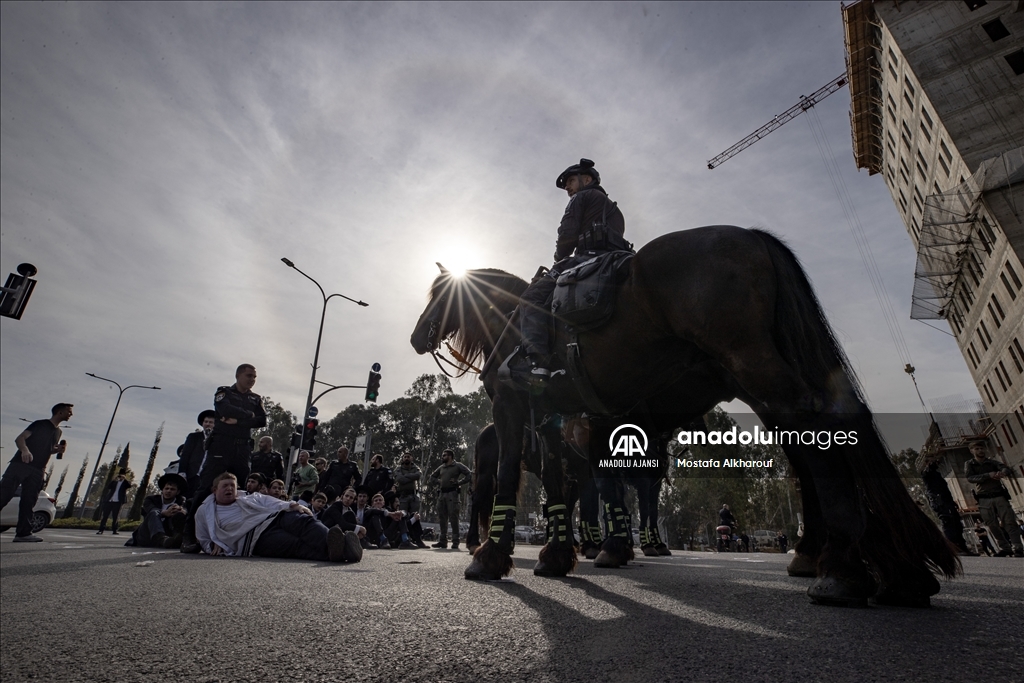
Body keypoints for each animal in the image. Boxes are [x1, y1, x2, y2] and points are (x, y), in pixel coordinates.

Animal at [409, 227, 958, 606]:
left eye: (438, 295)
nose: (417, 336)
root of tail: (752, 236)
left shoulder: (515, 405)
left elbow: (524, 480)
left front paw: (496, 557)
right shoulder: (551, 417)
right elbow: (567, 492)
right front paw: (561, 554)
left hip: (750, 362)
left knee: (811, 428)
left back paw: (841, 565)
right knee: (829, 425)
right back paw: (891, 568)